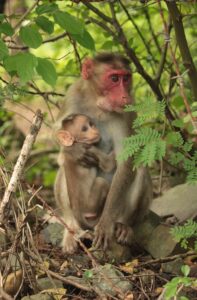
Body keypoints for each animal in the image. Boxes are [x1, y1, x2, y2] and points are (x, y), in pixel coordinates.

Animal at [54, 53, 153, 253]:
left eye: (126, 78)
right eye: (114, 78)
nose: (124, 95)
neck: (96, 103)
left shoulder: (126, 112)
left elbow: (126, 160)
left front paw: (107, 224)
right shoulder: (73, 95)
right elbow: (60, 144)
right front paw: (74, 150)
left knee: (138, 168)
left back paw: (123, 225)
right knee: (62, 167)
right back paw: (71, 228)